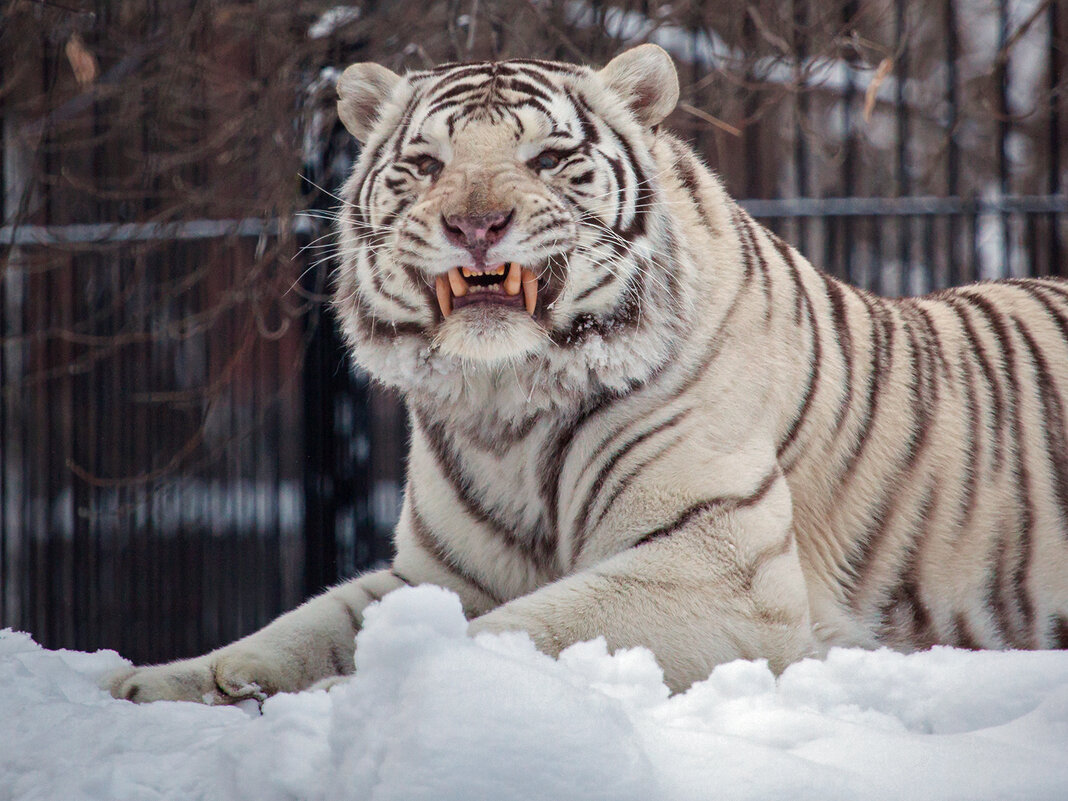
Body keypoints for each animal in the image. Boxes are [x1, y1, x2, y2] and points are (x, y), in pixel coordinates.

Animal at [110, 46, 1068, 704]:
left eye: (545, 160)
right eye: (426, 165)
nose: (476, 225)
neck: (504, 402)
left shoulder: (717, 565)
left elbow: (520, 627)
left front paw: (359, 691)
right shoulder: (436, 573)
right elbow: (308, 622)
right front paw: (172, 680)